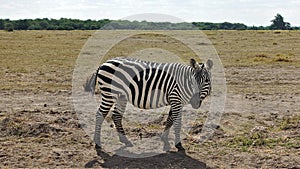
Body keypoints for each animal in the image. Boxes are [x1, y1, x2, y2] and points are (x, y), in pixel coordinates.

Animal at [83, 57, 212, 154]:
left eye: (206, 81)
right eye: (193, 80)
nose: (195, 102)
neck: (183, 83)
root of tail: (103, 63)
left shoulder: (175, 101)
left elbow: (170, 120)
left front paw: (164, 138)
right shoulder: (176, 99)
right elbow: (177, 123)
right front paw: (179, 145)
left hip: (121, 96)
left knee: (116, 115)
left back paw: (125, 140)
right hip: (109, 94)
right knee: (100, 114)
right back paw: (97, 143)